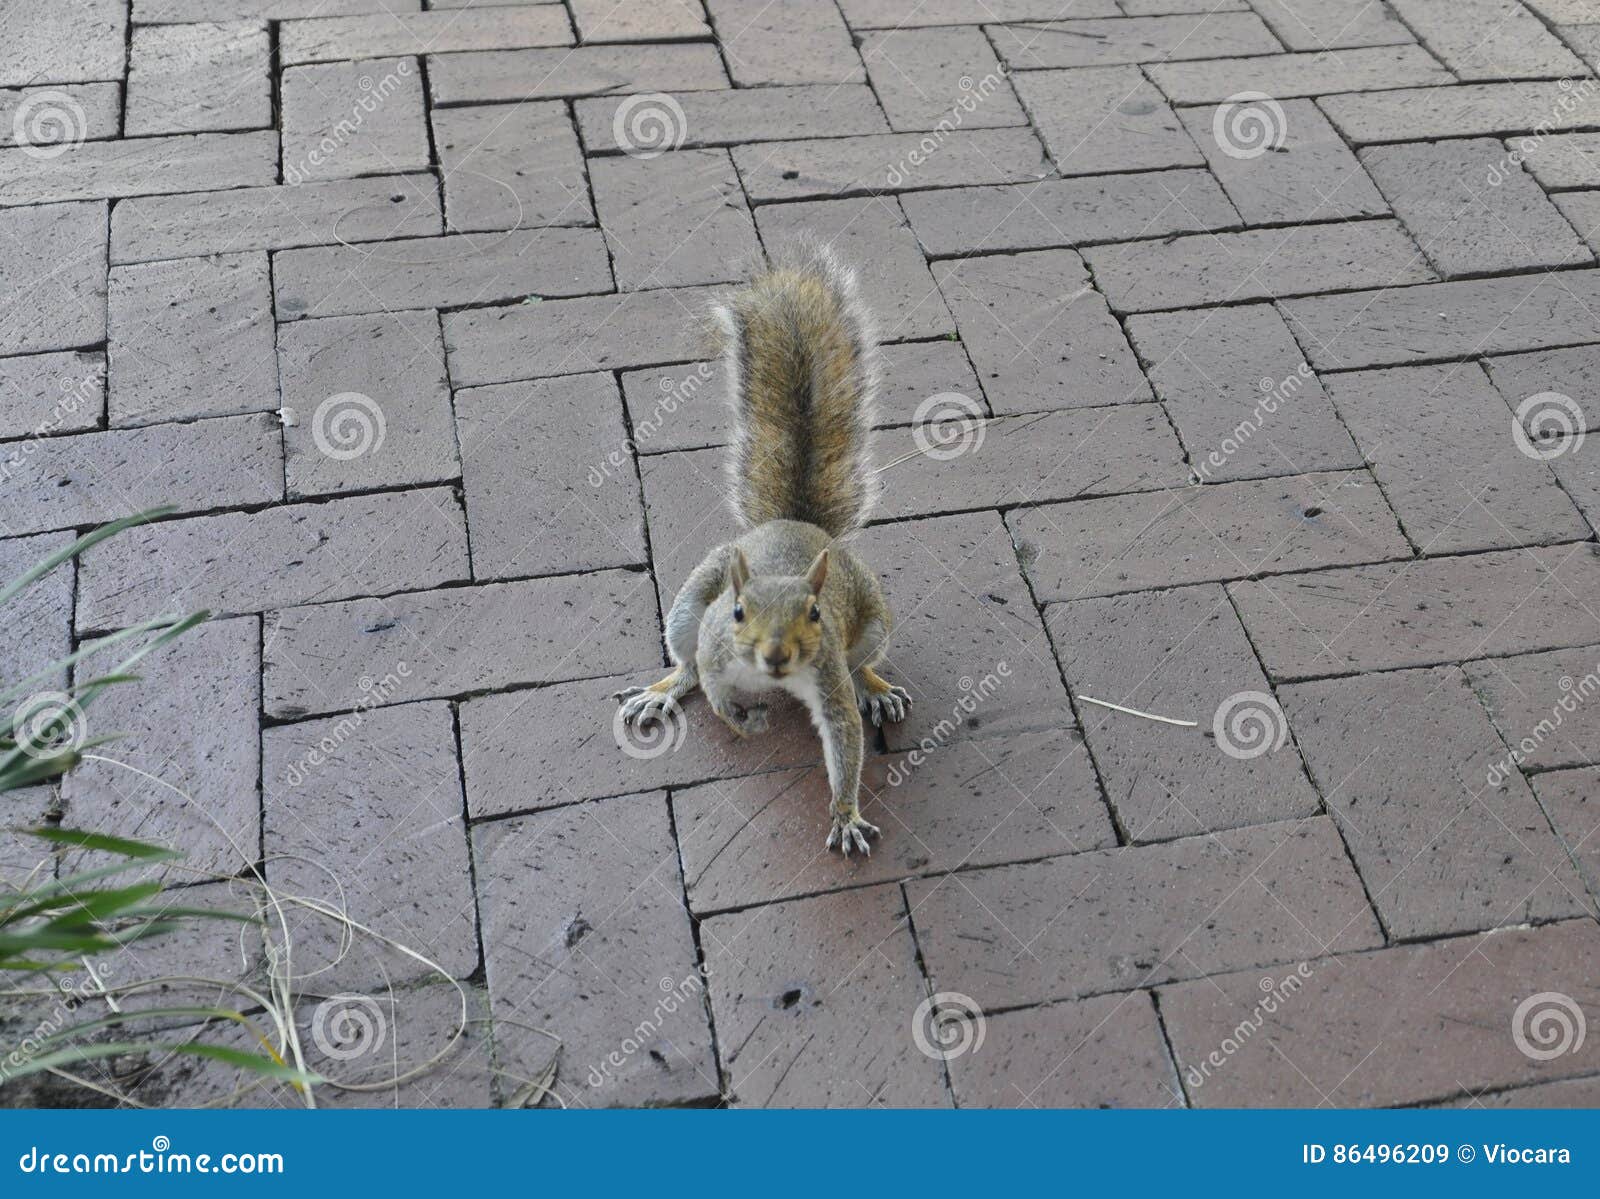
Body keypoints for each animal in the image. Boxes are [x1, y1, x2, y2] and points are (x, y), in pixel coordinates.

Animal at [614, 240, 912, 856]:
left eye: (816, 613)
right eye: (737, 611)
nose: (775, 655)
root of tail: (795, 524)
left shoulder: (826, 673)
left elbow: (844, 738)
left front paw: (846, 814)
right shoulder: (714, 641)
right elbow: (711, 682)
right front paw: (740, 720)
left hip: (874, 619)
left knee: (863, 662)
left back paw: (875, 687)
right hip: (688, 605)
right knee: (686, 662)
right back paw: (664, 690)